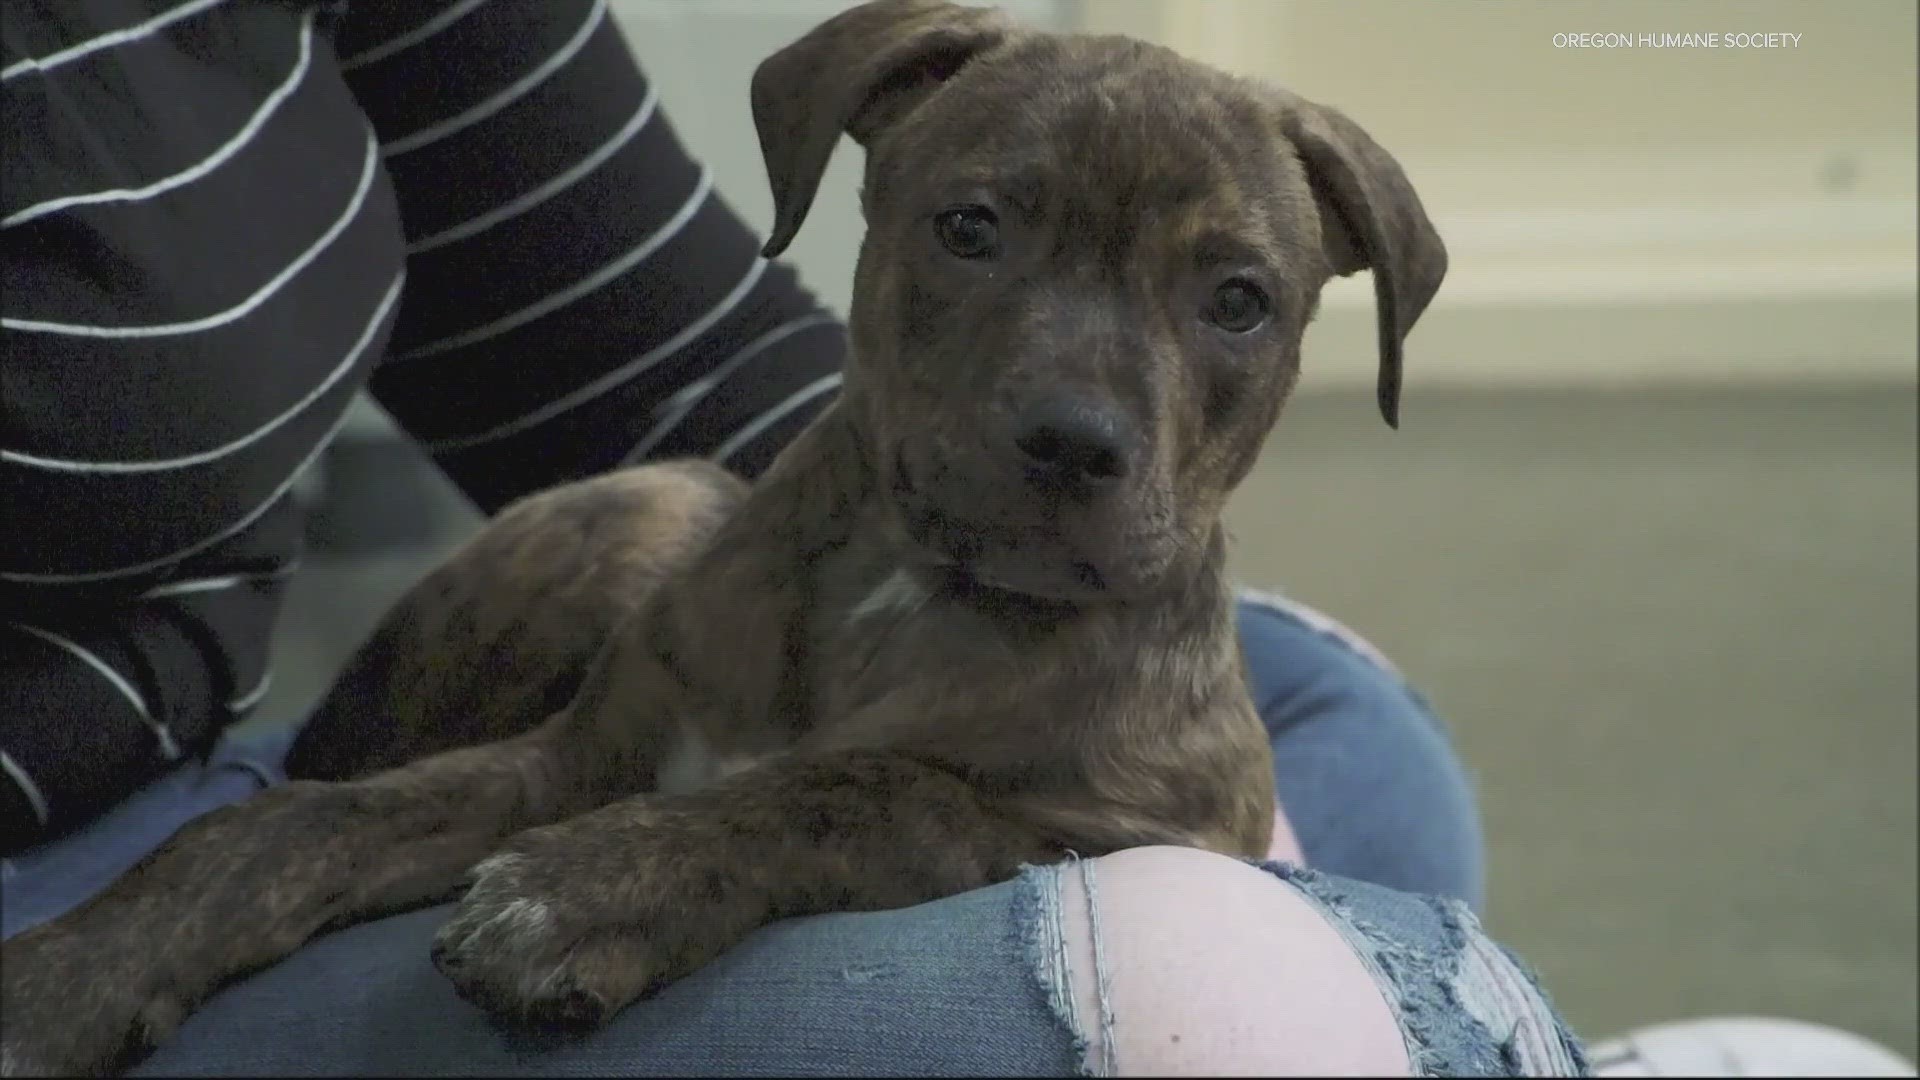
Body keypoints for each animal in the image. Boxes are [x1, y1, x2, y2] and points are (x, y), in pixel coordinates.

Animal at [0, 0, 1443, 1068]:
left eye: (1240, 302)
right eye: (971, 228)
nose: (1075, 444)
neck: (912, 590)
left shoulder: (1123, 827)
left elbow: (866, 787)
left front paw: (593, 889)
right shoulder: (575, 754)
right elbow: (287, 825)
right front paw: (75, 972)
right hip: (642, 503)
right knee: (316, 767)